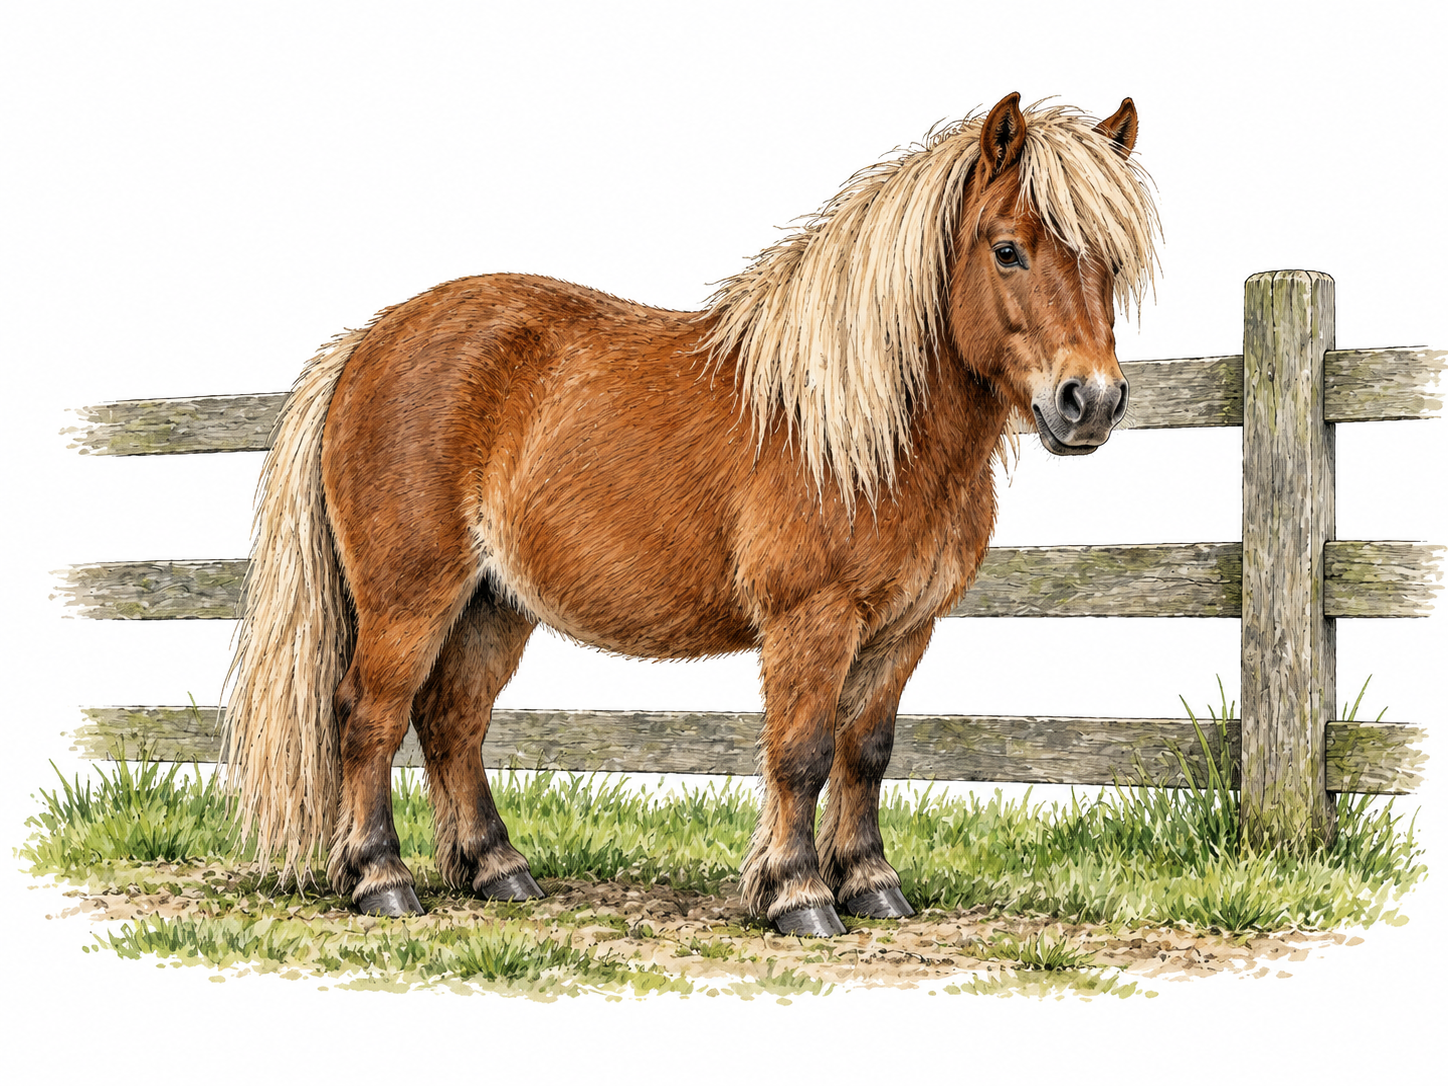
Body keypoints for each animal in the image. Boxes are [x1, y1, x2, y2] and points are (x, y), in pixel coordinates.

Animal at [222, 93, 1159, 936]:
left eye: (1112, 265)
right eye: (1008, 251)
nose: (1091, 402)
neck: (860, 431)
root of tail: (367, 343)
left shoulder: (903, 630)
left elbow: (866, 754)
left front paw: (871, 884)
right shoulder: (810, 623)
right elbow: (802, 755)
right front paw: (799, 897)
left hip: (494, 604)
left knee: (452, 722)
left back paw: (496, 871)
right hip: (409, 597)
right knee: (369, 717)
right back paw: (380, 881)